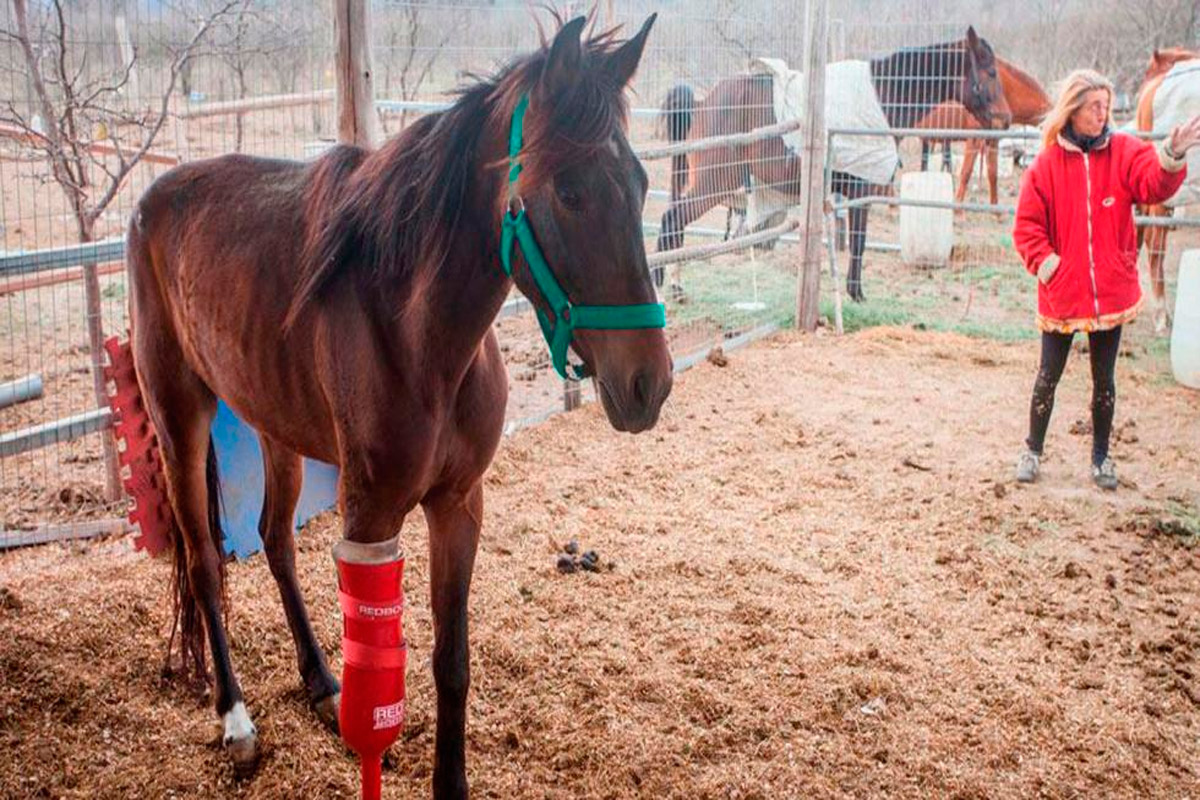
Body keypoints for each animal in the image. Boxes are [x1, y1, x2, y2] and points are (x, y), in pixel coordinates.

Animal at [125, 15, 669, 797]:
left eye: (641, 180)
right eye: (568, 192)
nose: (649, 382)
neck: (418, 333)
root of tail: (154, 199)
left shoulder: (458, 505)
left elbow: (451, 663)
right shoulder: (372, 518)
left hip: (275, 426)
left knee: (276, 542)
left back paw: (319, 682)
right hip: (179, 419)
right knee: (203, 562)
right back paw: (236, 720)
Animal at [656, 27, 1011, 302]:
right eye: (992, 73)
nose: (1005, 119)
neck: (881, 97)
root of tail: (703, 102)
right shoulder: (861, 190)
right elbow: (859, 241)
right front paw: (856, 292)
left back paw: (676, 286)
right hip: (713, 184)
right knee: (672, 220)